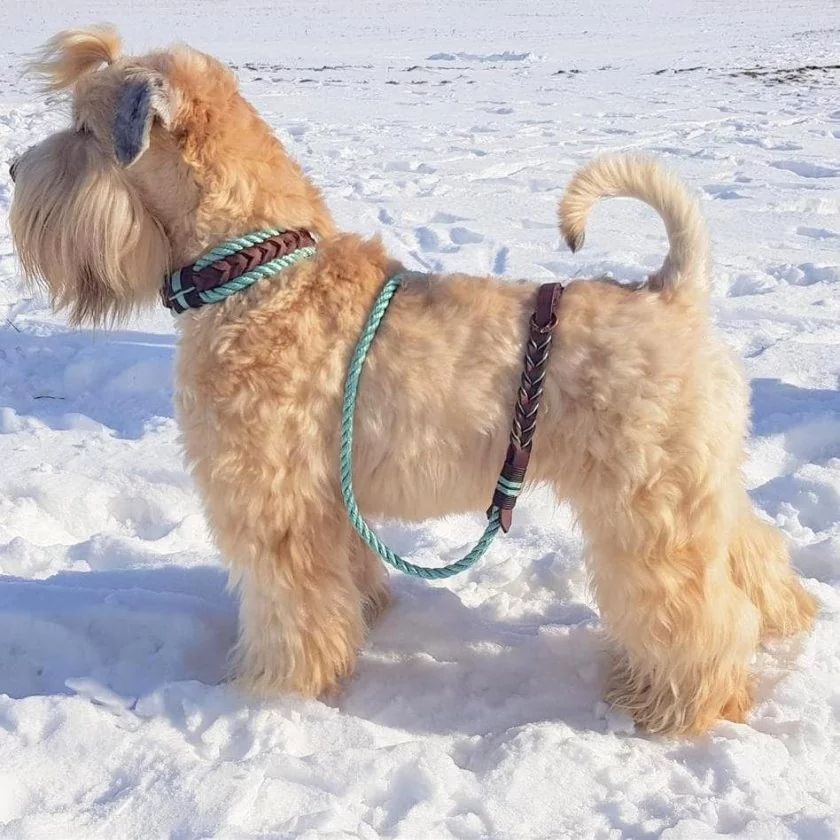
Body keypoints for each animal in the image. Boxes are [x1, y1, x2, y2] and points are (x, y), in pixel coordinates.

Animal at [9, 26, 816, 736]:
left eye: (82, 131)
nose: (14, 171)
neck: (258, 274)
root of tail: (673, 293)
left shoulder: (273, 502)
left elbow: (289, 610)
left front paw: (273, 691)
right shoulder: (329, 498)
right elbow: (343, 580)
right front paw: (365, 618)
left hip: (648, 509)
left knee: (703, 614)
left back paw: (677, 705)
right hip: (695, 488)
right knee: (753, 553)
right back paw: (789, 620)